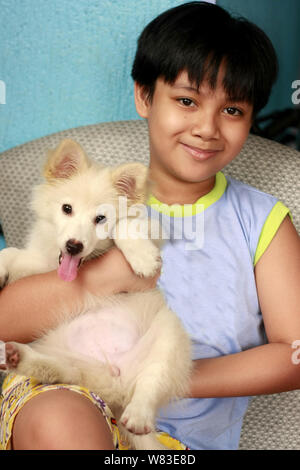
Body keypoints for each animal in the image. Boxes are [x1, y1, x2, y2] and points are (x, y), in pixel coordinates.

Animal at [0, 140, 192, 452]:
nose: (73, 246)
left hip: (169, 336)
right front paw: (1, 268)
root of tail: (116, 383)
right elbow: (11, 253)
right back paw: (19, 356)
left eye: (100, 219)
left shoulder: (153, 228)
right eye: (66, 209)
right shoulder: (38, 265)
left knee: (151, 381)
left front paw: (141, 257)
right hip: (62, 356)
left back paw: (138, 414)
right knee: (63, 373)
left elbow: (127, 226)